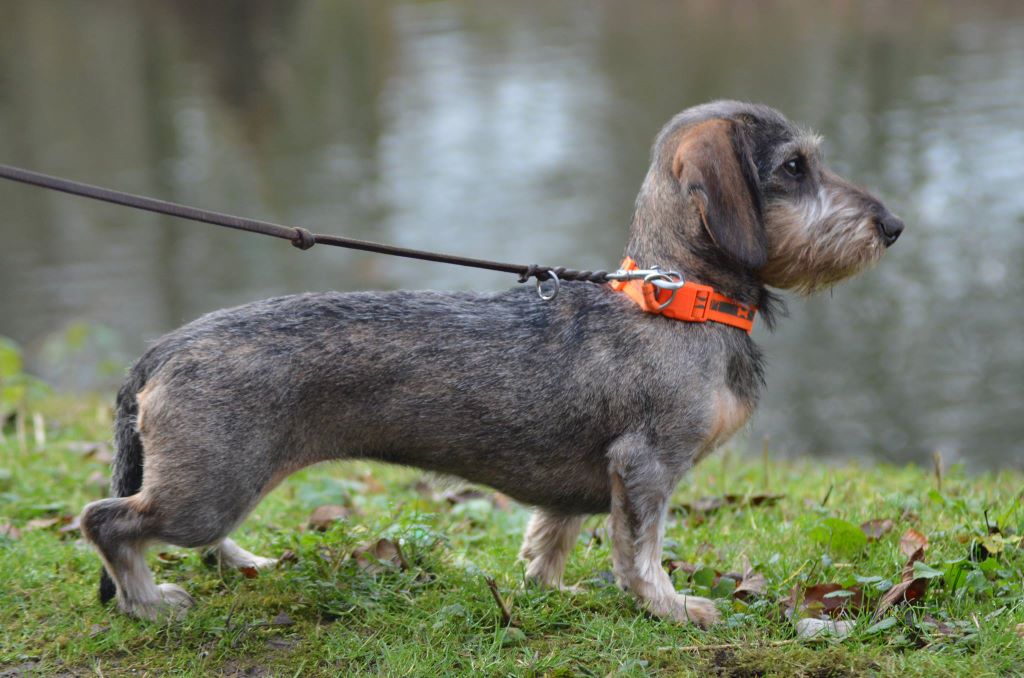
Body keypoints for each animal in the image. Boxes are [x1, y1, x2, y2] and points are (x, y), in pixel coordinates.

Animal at [83, 100, 909, 626]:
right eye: (795, 166)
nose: (893, 225)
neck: (674, 298)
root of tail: (161, 351)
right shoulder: (646, 467)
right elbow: (640, 552)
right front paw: (672, 607)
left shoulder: (586, 484)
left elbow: (551, 536)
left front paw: (548, 589)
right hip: (211, 487)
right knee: (108, 521)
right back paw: (150, 604)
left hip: (220, 482)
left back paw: (237, 561)